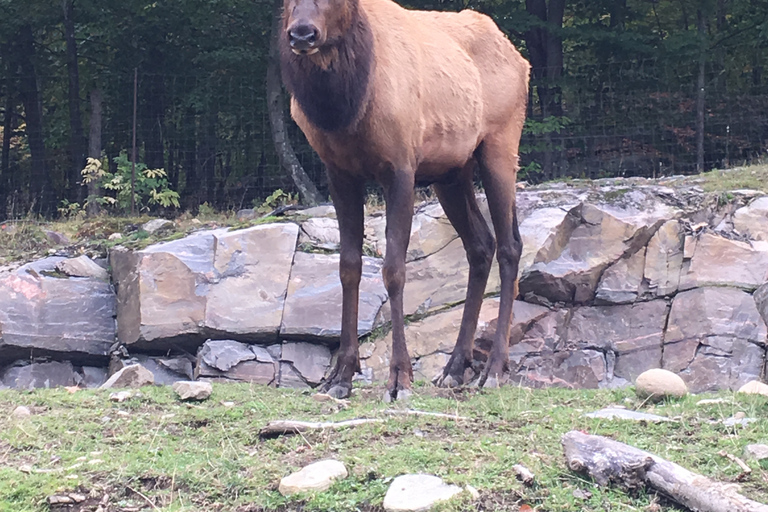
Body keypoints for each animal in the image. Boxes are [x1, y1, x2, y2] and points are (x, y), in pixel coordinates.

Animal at [280, 0, 528, 400]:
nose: (302, 33)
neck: (343, 110)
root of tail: (521, 61)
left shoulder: (400, 167)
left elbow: (394, 269)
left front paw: (400, 378)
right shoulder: (339, 171)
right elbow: (348, 267)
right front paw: (341, 375)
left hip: (500, 144)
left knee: (510, 246)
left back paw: (493, 370)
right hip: (451, 171)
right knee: (480, 244)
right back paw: (454, 368)